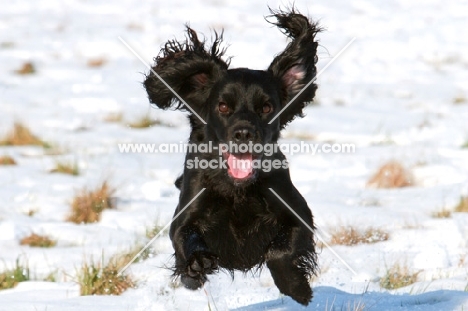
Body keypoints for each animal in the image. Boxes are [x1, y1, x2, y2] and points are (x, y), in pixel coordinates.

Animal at [145, 7, 322, 308]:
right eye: (223, 106)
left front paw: (297, 287)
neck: (237, 189)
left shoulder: (299, 213)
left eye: (267, 108)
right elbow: (184, 237)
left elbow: (279, 252)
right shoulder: (184, 216)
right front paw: (196, 265)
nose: (243, 133)